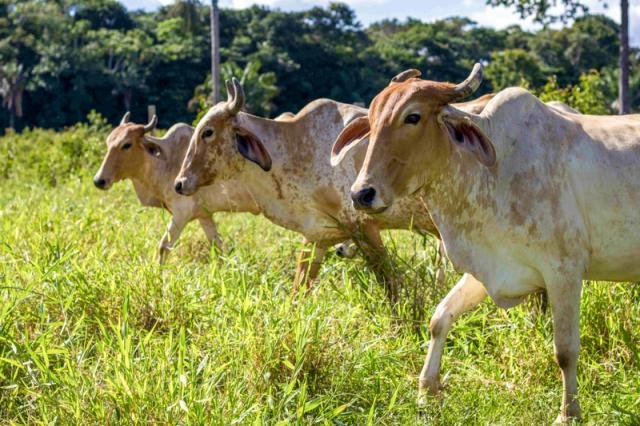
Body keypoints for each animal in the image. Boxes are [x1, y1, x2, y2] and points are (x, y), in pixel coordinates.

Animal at [94, 113, 252, 262]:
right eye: (108, 142)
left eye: (126, 144)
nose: (99, 180)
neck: (166, 161)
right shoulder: (204, 215)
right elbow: (217, 247)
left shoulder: (181, 213)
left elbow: (163, 247)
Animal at [332, 63, 636, 422]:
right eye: (372, 118)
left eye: (413, 116)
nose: (361, 193)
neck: (494, 171)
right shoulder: (488, 268)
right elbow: (439, 318)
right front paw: (426, 392)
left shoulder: (565, 271)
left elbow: (565, 350)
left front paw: (568, 413)